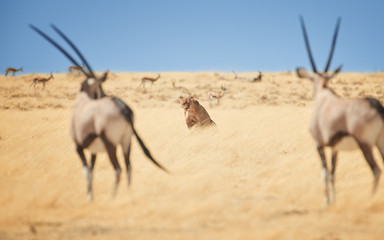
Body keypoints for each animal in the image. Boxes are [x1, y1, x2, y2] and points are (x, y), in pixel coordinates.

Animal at [30, 23, 168, 201]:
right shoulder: (94, 151)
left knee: (118, 168)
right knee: (129, 166)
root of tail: (123, 108)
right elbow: (92, 170)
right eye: (100, 86)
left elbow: (87, 171)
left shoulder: (79, 147)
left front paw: (89, 197)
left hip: (111, 144)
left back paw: (113, 197)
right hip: (126, 141)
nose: (104, 95)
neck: (82, 100)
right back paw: (128, 194)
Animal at [298, 16, 382, 205]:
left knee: (376, 170)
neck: (323, 93)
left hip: (365, 144)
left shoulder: (319, 145)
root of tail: (376, 106)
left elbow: (325, 174)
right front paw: (333, 200)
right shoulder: (335, 149)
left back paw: (369, 201)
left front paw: (326, 202)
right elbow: (333, 173)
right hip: (380, 142)